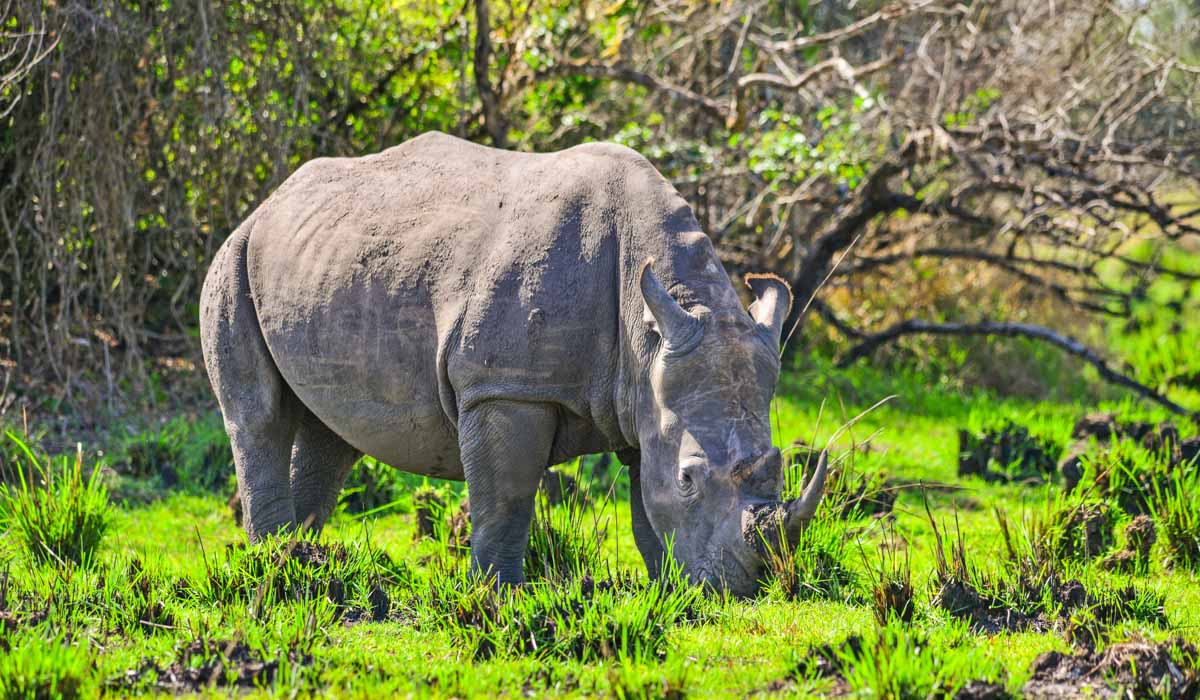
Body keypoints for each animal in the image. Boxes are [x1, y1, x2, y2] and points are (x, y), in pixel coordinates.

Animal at [199, 131, 827, 595]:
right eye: (690, 478)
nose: (748, 586)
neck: (651, 319)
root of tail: (272, 200)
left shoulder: (644, 394)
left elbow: (645, 504)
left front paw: (668, 589)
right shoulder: (505, 386)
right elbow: (507, 497)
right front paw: (497, 595)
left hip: (321, 262)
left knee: (334, 434)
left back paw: (304, 561)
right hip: (234, 256)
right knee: (258, 418)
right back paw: (277, 568)